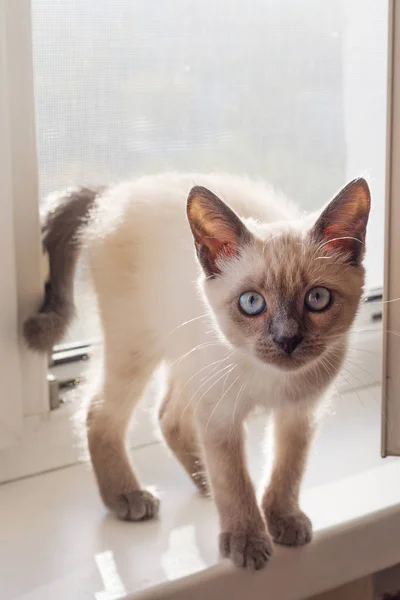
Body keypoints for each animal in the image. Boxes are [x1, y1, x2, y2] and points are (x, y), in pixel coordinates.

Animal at [24, 175, 368, 572]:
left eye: (317, 299)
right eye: (252, 303)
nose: (287, 340)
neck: (270, 378)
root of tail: (117, 189)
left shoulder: (298, 412)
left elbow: (287, 469)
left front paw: (283, 518)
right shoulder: (220, 416)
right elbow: (233, 479)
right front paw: (247, 540)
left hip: (186, 356)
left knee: (168, 416)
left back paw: (202, 480)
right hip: (136, 342)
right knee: (98, 411)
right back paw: (127, 496)